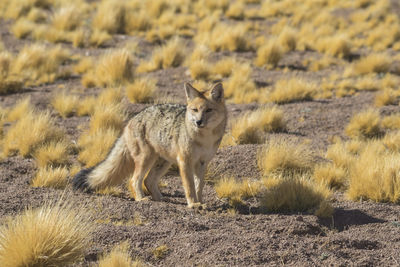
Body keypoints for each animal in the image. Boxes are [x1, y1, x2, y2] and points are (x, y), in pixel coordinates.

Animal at [73, 82, 227, 208]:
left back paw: (161, 200)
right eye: (195, 110)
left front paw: (200, 202)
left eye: (208, 110)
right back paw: (141, 199)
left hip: (162, 162)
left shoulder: (202, 162)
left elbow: (199, 186)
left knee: (148, 180)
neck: (204, 139)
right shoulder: (185, 161)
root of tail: (132, 119)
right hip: (146, 159)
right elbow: (189, 186)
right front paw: (193, 204)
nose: (198, 122)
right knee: (134, 180)